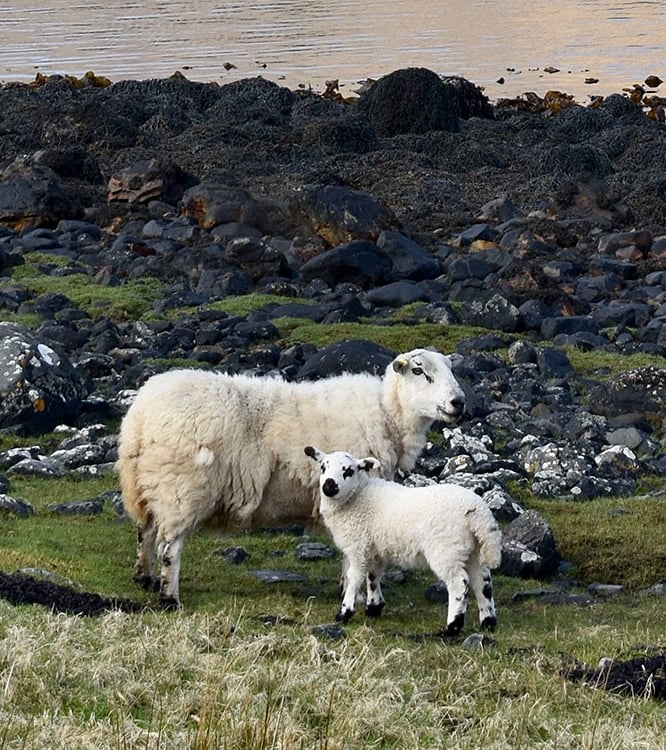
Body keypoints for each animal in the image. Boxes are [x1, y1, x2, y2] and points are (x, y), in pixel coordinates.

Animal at [117, 347, 466, 608]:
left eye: (451, 369)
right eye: (419, 371)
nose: (458, 403)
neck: (388, 415)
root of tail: (140, 415)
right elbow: (353, 555)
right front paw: (356, 593)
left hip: (148, 484)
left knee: (145, 531)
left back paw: (144, 578)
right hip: (181, 488)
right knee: (169, 547)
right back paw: (169, 596)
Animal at [304, 446, 502, 636]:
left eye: (349, 471)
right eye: (323, 467)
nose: (329, 486)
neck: (357, 497)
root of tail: (479, 512)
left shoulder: (358, 547)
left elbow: (354, 578)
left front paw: (344, 613)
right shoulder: (374, 550)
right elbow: (373, 576)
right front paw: (374, 607)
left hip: (447, 550)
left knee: (459, 583)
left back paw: (452, 627)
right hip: (474, 549)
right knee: (483, 582)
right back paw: (488, 622)